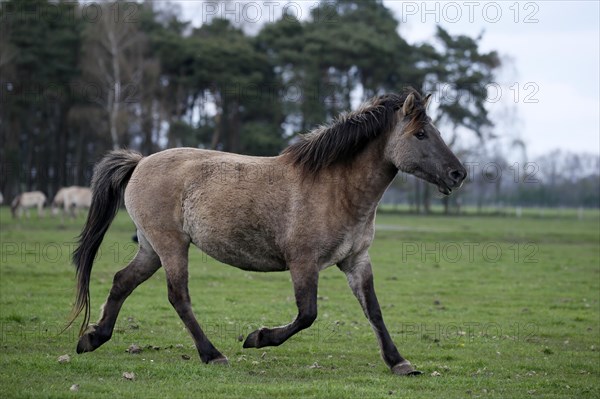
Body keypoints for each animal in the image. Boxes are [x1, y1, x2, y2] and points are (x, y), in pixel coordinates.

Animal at [68, 89, 466, 376]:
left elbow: (375, 311)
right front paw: (257, 338)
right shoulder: (303, 262)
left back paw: (93, 338)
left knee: (122, 281)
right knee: (178, 297)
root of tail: (139, 162)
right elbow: (307, 314)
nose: (458, 174)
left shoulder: (356, 261)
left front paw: (399, 362)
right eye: (420, 134)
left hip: (151, 248)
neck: (335, 188)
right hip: (171, 246)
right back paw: (213, 354)